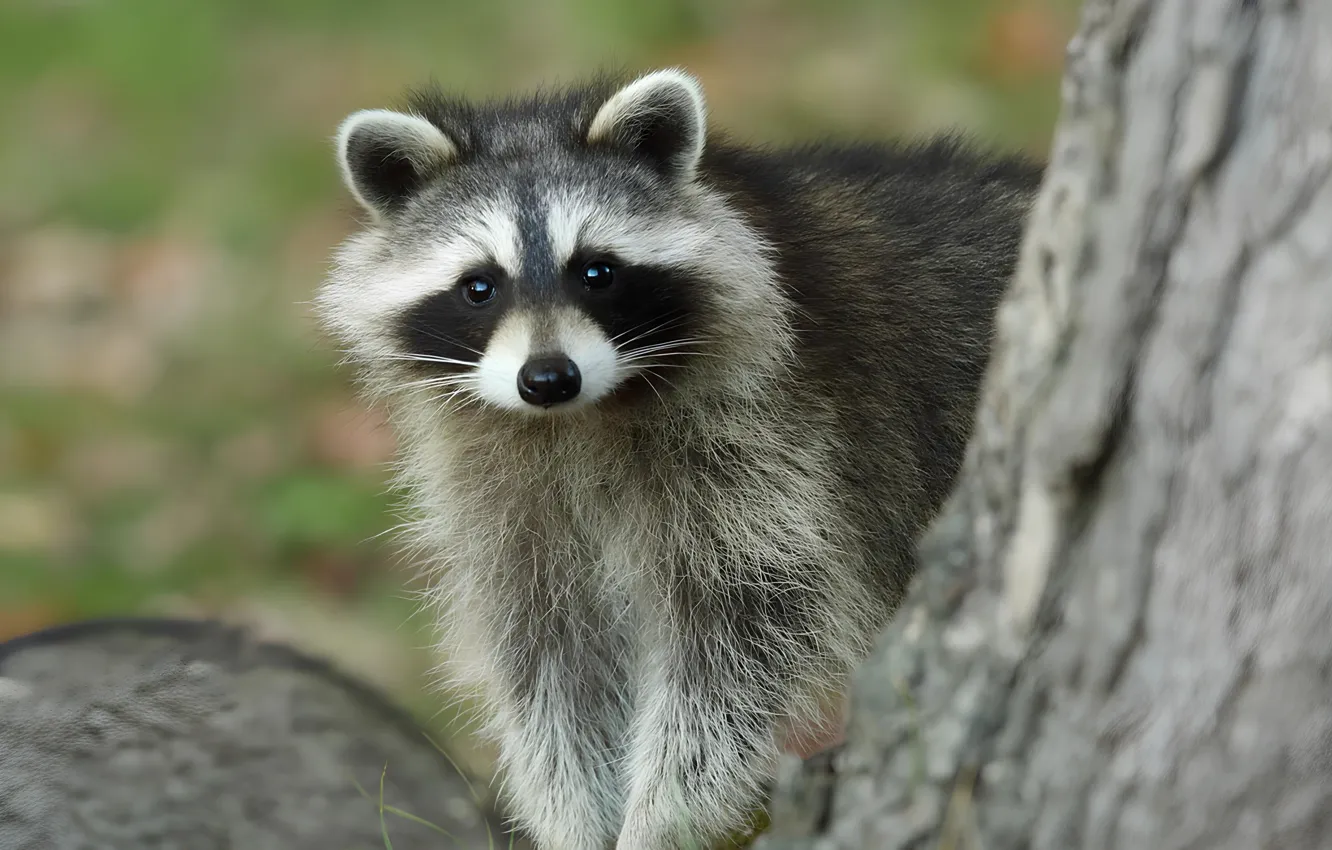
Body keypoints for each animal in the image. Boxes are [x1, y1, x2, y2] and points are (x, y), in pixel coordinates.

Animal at [317, 68, 1042, 850]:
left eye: (597, 272)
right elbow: (549, 661)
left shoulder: (777, 441)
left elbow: (740, 646)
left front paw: (661, 822)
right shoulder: (497, 488)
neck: (576, 420)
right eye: (480, 286)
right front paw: (572, 818)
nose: (548, 378)